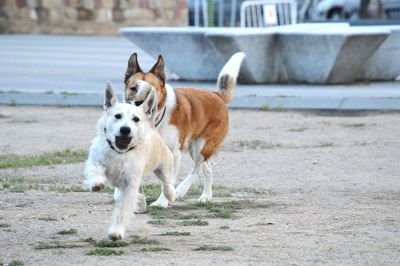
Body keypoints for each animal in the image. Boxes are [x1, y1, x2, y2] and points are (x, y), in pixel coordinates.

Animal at [84, 81, 175, 241]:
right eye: (117, 116)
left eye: (135, 119)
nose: (125, 129)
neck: (120, 152)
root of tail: (151, 127)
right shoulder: (95, 160)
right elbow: (95, 169)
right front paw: (96, 182)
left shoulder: (129, 186)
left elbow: (122, 211)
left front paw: (116, 231)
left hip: (163, 167)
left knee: (167, 183)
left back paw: (170, 195)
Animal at [124, 52, 244, 206]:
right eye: (133, 88)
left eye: (152, 89)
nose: (139, 103)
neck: (155, 121)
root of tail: (216, 95)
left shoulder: (174, 153)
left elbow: (168, 180)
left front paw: (162, 202)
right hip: (194, 147)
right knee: (205, 168)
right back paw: (196, 193)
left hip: (201, 147)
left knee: (200, 168)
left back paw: (190, 192)